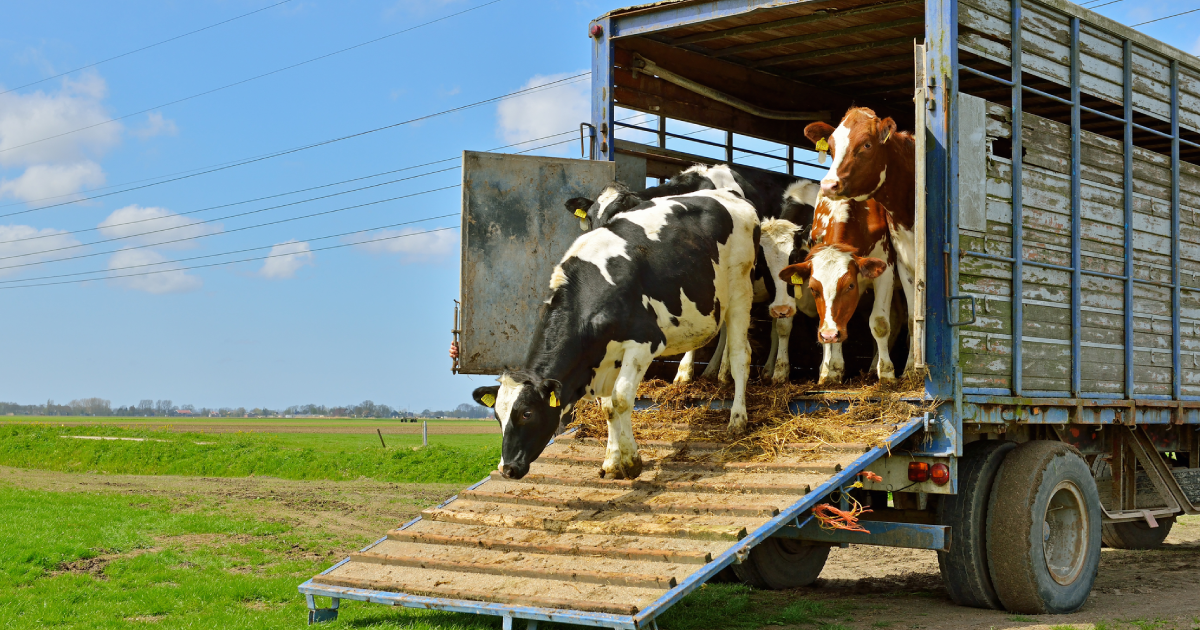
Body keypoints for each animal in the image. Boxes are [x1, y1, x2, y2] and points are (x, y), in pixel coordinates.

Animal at [474, 188, 759, 481]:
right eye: (497, 417)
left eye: (527, 413)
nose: (507, 468)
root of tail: (727, 193)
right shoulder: (604, 358)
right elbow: (608, 407)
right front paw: (612, 461)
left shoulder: (644, 342)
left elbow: (621, 400)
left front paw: (632, 461)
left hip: (740, 288)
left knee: (741, 356)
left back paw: (737, 418)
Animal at [802, 107, 918, 376]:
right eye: (831, 147)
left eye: (866, 144)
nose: (829, 185)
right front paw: (830, 370)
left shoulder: (887, 266)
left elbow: (880, 322)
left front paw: (889, 373)